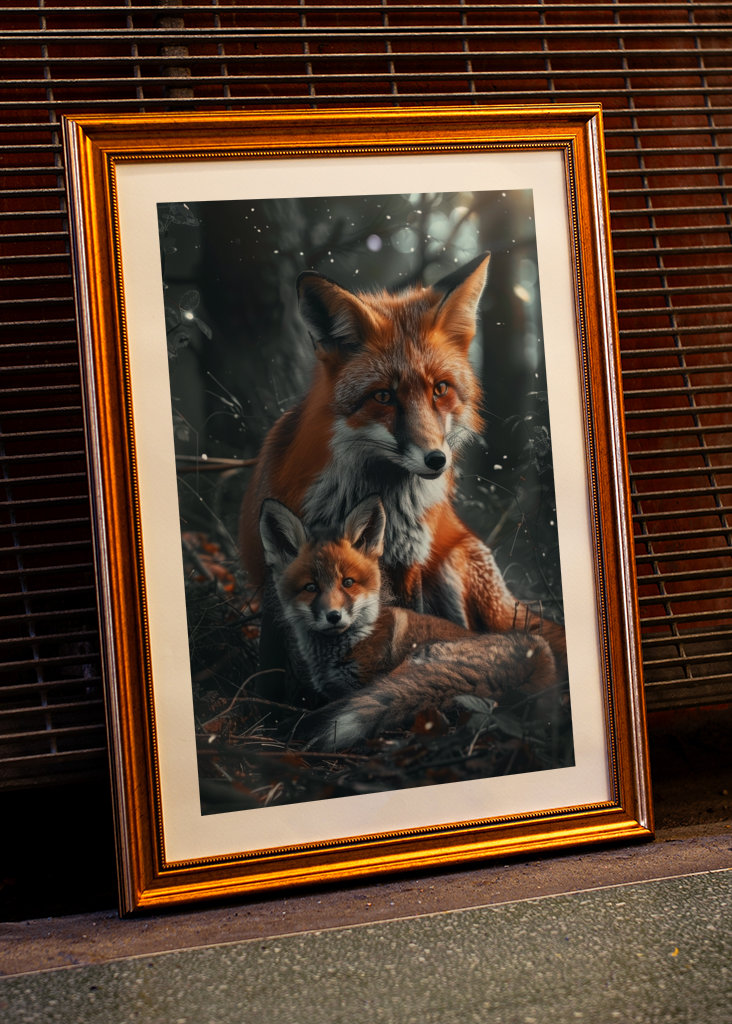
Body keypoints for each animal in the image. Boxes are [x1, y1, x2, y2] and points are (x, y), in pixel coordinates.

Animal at [240, 252, 566, 669]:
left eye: (440, 389)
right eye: (384, 396)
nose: (436, 460)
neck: (380, 499)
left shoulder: (410, 563)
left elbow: (412, 623)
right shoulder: (277, 569)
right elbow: (271, 663)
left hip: (452, 564)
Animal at [259, 494, 558, 749]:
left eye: (348, 583)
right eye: (310, 587)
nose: (334, 616)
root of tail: (537, 661)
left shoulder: (363, 684)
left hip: (409, 668)